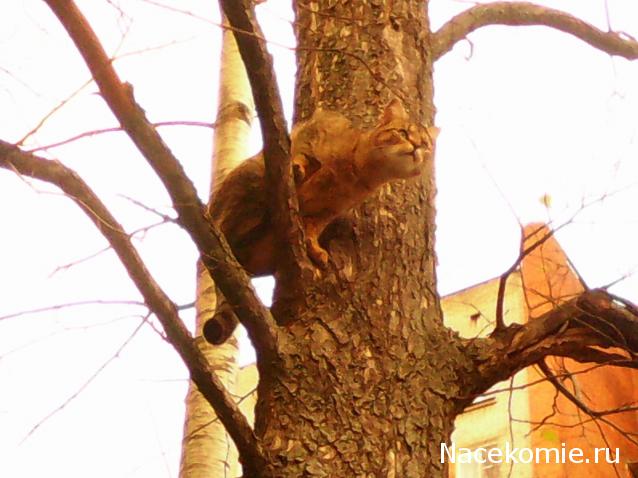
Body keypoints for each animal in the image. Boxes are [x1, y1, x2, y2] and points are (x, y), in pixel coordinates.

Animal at [205, 99, 440, 344]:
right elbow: (301, 154)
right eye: (402, 132)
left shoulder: (327, 211)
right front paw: (299, 169)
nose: (416, 147)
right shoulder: (314, 130)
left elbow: (312, 228)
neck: (359, 169)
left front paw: (314, 248)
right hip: (248, 182)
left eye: (426, 144)